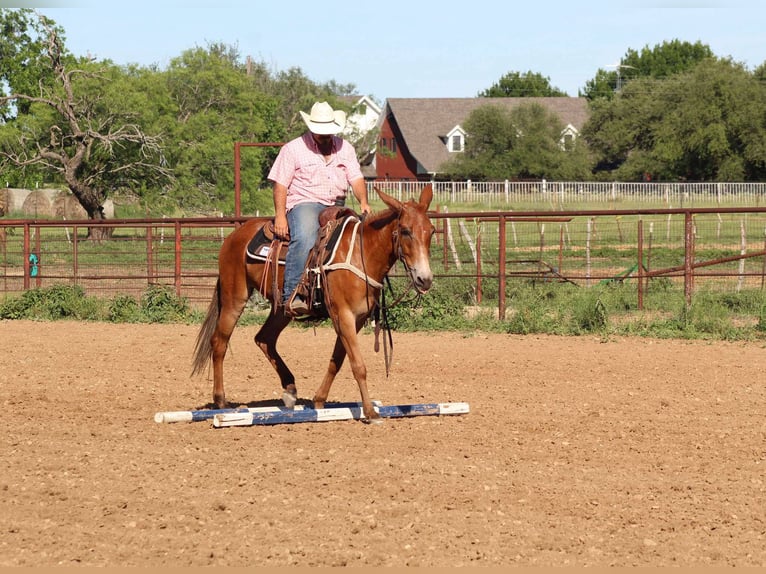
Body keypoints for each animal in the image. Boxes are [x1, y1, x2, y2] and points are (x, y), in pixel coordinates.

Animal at [191, 184, 435, 423]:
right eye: (405, 230)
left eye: (431, 230)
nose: (425, 279)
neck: (361, 253)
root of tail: (235, 235)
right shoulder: (343, 316)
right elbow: (358, 365)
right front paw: (370, 412)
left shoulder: (355, 320)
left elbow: (337, 360)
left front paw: (319, 401)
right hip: (235, 298)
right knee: (219, 342)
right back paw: (221, 400)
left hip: (281, 309)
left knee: (264, 339)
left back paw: (290, 389)